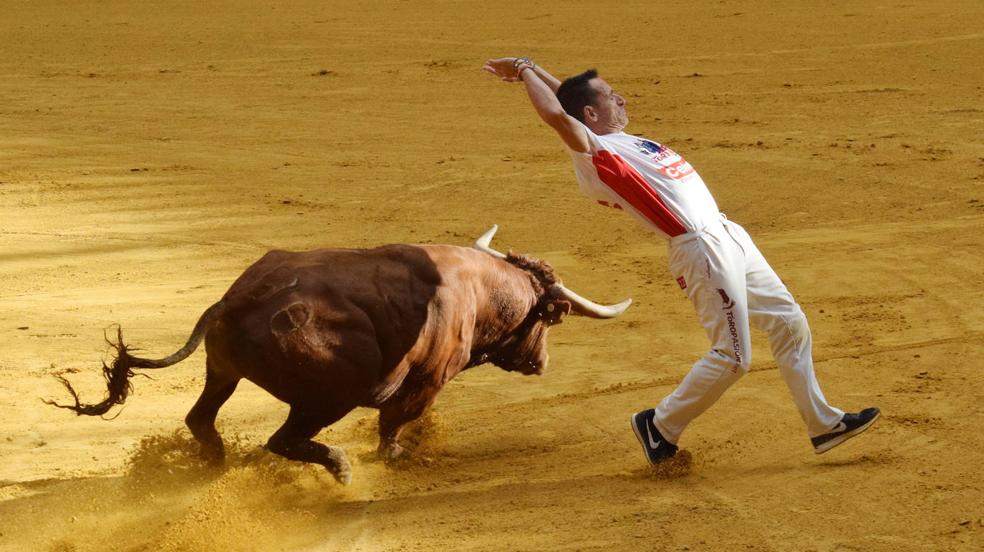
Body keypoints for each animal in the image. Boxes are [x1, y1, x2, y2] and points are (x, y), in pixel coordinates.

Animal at [46, 225, 632, 484]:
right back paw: (340, 467)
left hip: (223, 372)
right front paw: (398, 457)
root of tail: (239, 297)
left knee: (201, 418)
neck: (480, 290)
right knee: (283, 439)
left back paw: (216, 463)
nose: (541, 362)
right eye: (552, 317)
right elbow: (394, 425)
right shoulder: (426, 382)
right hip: (329, 397)